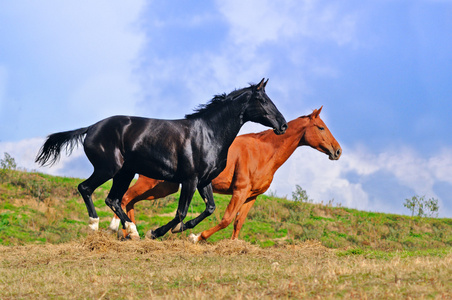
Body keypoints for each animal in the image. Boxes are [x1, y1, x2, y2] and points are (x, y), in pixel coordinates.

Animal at [37, 79, 288, 239]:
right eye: (263, 101)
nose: (283, 125)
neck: (208, 133)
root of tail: (91, 128)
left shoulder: (204, 181)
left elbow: (210, 208)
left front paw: (182, 231)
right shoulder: (190, 180)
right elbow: (181, 212)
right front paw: (156, 232)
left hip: (125, 172)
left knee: (113, 199)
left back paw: (132, 231)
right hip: (108, 168)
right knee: (86, 188)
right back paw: (96, 225)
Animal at [109, 106, 340, 243]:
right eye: (320, 127)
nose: (337, 151)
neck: (264, 151)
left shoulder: (252, 196)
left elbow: (238, 223)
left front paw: (233, 245)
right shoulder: (239, 191)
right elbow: (226, 219)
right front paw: (195, 236)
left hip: (164, 187)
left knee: (129, 200)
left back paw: (133, 233)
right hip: (155, 184)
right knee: (125, 198)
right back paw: (123, 231)